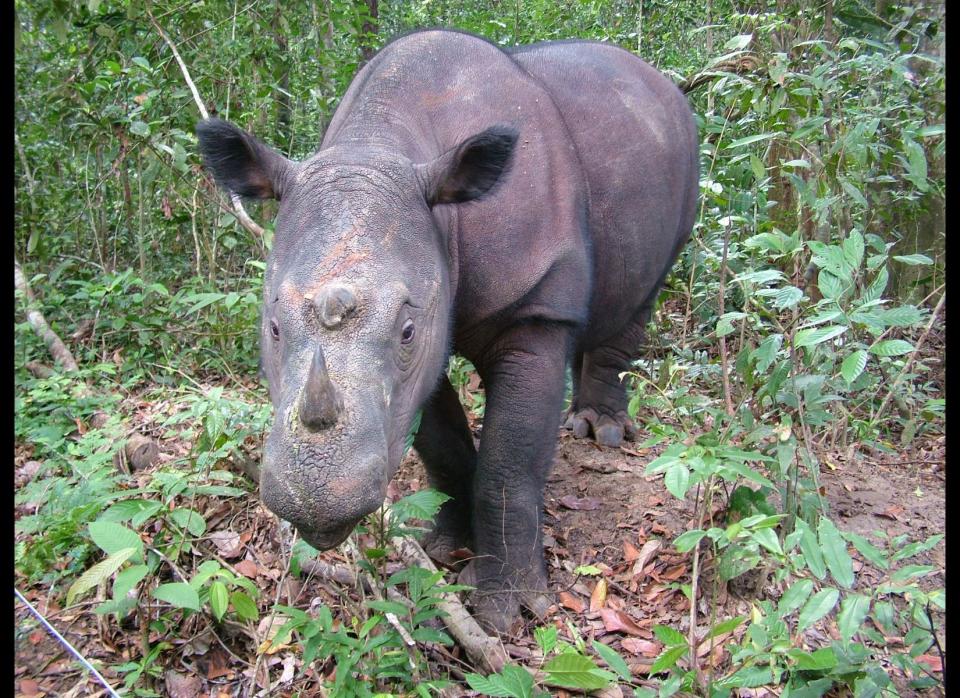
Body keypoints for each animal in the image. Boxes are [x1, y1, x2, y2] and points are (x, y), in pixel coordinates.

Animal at [197, 29, 696, 632]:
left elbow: (508, 466)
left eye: (407, 330)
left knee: (643, 293)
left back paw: (600, 433)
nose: (315, 500)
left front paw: (510, 609)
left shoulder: (532, 307)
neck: (384, 146)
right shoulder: (422, 347)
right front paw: (442, 546)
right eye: (272, 327)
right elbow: (441, 444)